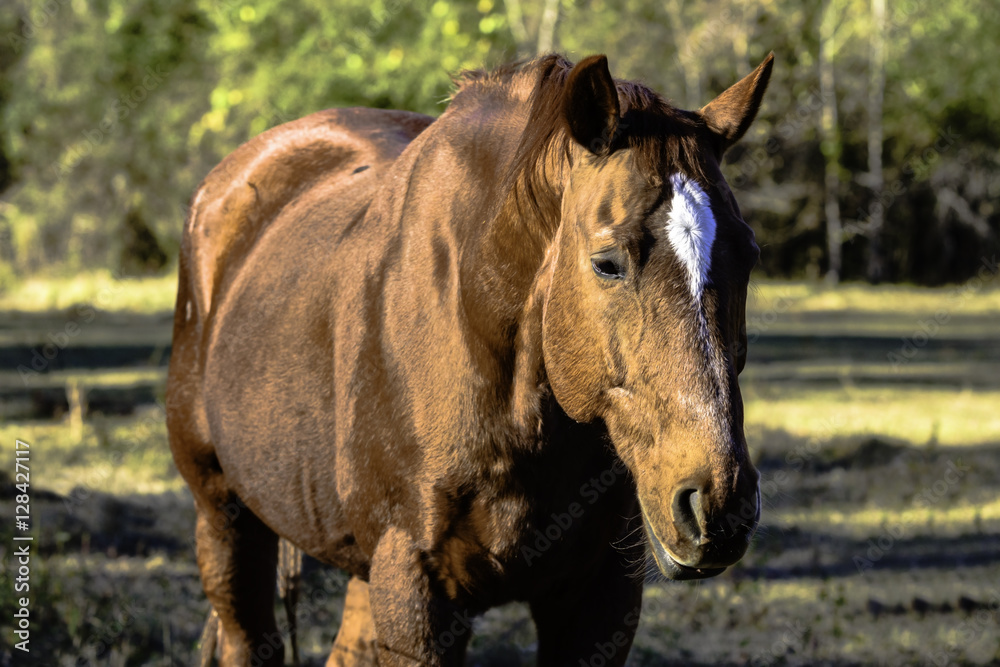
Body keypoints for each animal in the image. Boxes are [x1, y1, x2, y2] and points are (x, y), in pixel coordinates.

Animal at [166, 51, 773, 666]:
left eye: (750, 255)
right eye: (607, 263)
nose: (719, 503)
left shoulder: (599, 597)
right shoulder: (417, 592)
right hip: (225, 518)